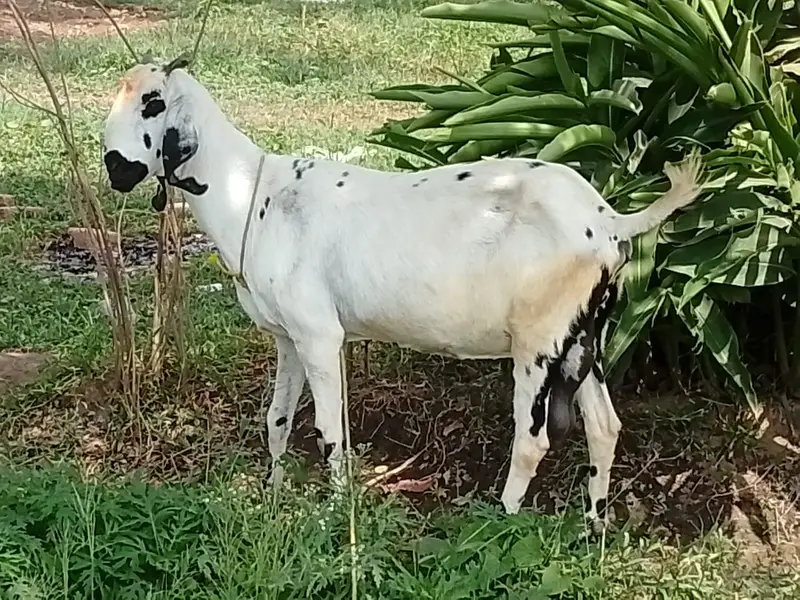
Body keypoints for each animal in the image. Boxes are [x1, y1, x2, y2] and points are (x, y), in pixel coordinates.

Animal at [102, 56, 702, 530]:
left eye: (154, 103)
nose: (114, 167)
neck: (255, 194)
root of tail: (609, 220)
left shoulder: (320, 335)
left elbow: (329, 431)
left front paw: (334, 513)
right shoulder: (286, 337)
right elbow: (276, 420)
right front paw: (273, 495)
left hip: (538, 340)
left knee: (533, 439)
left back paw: (499, 521)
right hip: (581, 337)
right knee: (604, 426)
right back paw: (593, 524)